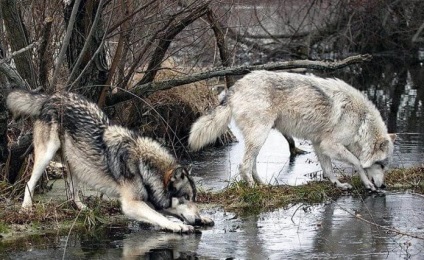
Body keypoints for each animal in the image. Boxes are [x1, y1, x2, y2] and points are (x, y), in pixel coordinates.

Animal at [6, 90, 212, 234]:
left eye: (195, 199)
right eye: (186, 198)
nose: (197, 220)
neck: (143, 167)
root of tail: (52, 96)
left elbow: (163, 211)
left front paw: (204, 217)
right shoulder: (131, 204)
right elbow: (157, 216)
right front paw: (177, 226)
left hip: (75, 161)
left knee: (72, 190)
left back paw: (82, 208)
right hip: (47, 154)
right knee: (29, 182)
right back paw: (26, 208)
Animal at [189, 70, 394, 190]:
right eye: (382, 165)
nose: (384, 186)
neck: (362, 122)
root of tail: (235, 87)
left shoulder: (319, 144)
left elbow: (328, 169)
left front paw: (338, 184)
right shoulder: (331, 145)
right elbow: (357, 162)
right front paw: (367, 184)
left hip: (258, 139)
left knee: (252, 164)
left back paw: (263, 184)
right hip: (260, 136)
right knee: (244, 166)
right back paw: (254, 188)